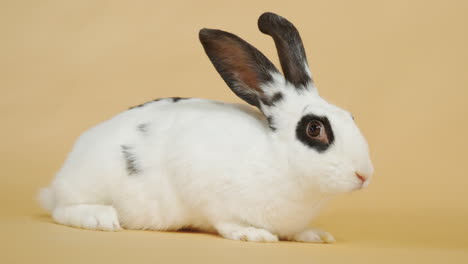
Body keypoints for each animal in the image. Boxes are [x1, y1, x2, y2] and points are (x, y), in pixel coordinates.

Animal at [37, 12, 372, 243]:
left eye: (350, 116)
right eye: (314, 129)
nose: (365, 175)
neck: (279, 159)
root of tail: (59, 180)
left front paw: (315, 235)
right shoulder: (208, 190)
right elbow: (227, 221)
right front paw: (253, 234)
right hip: (87, 185)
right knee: (62, 210)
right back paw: (101, 218)